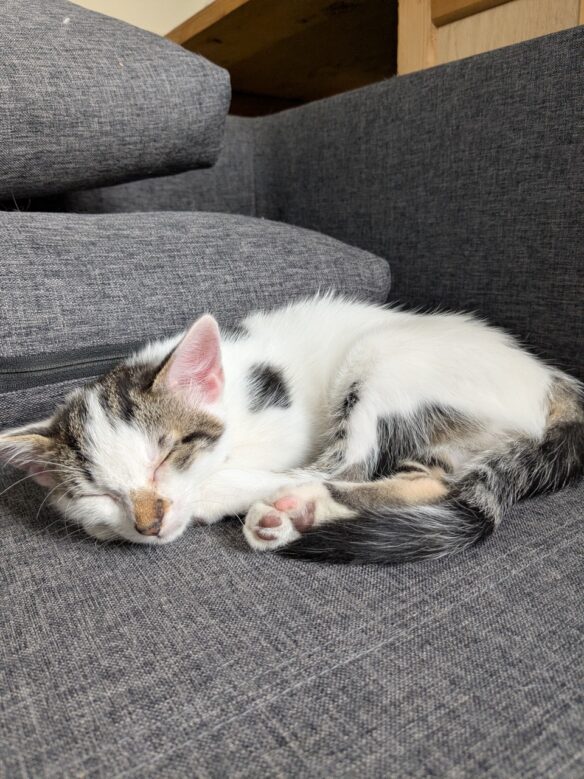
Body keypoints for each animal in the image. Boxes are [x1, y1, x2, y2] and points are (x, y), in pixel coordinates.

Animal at [1, 295, 583, 563]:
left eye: (167, 455)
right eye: (98, 494)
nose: (149, 522)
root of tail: (553, 382)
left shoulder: (287, 422)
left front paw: (211, 489)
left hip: (383, 357)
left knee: (350, 461)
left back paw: (290, 504)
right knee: (432, 479)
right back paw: (296, 515)